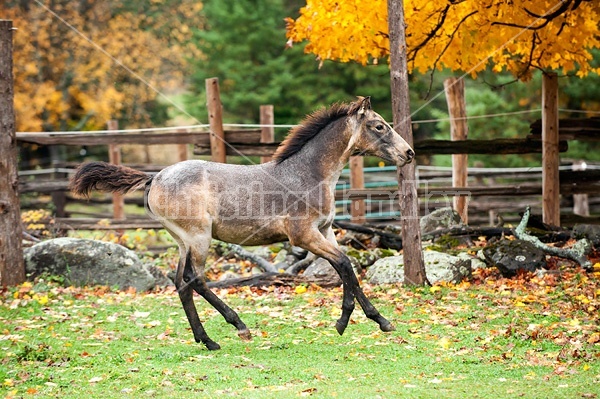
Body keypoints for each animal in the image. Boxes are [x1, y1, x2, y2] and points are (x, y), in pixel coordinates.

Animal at [70, 97, 414, 350]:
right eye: (379, 125)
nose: (409, 153)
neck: (307, 174)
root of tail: (154, 177)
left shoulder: (326, 231)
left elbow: (347, 270)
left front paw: (373, 320)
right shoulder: (303, 236)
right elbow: (344, 265)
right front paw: (351, 322)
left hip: (183, 241)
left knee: (180, 282)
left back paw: (208, 338)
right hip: (199, 237)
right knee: (194, 280)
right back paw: (233, 329)